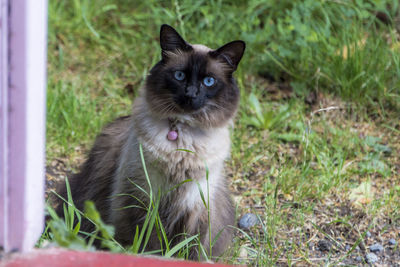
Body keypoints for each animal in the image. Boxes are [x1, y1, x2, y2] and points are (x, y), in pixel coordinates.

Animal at [55, 24, 245, 260]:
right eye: (179, 76)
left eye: (209, 81)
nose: (191, 94)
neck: (181, 136)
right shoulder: (145, 199)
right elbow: (151, 243)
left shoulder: (193, 207)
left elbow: (188, 248)